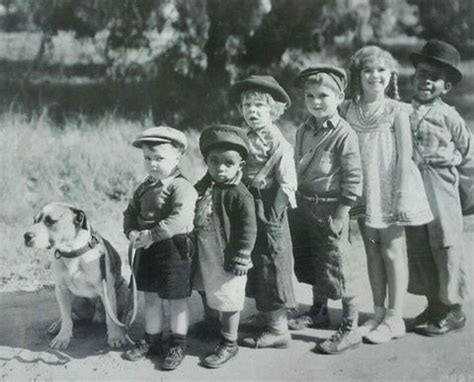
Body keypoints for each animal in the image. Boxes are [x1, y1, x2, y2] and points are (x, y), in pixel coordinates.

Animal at [23, 203, 129, 350]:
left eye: (50, 221)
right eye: (34, 220)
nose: (26, 236)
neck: (71, 253)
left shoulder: (107, 290)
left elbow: (111, 318)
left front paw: (115, 336)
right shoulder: (61, 289)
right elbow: (66, 317)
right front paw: (62, 337)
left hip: (123, 289)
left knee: (120, 313)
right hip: (73, 298)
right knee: (69, 315)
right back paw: (57, 325)